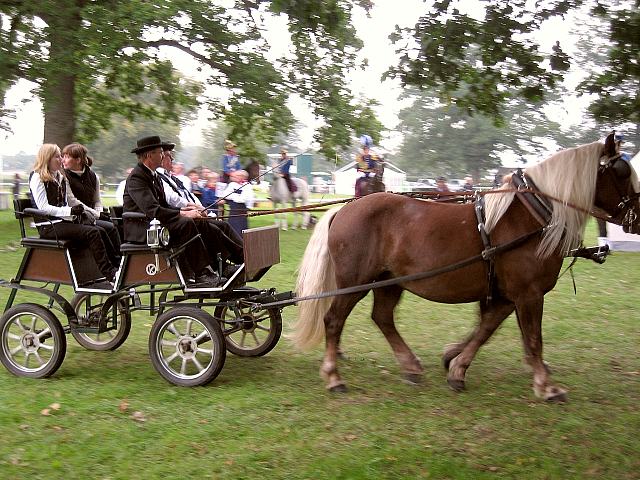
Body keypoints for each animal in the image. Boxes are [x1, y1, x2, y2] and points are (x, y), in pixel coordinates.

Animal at [292, 132, 640, 402]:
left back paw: (410, 366)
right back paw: (334, 377)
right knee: (334, 321)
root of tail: (345, 209)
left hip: (388, 281)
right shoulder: (528, 294)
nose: (636, 218)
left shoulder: (507, 295)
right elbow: (532, 338)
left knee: (382, 318)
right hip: (355, 282)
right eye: (623, 171)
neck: (532, 216)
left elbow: (485, 330)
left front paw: (456, 366)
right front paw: (546, 386)